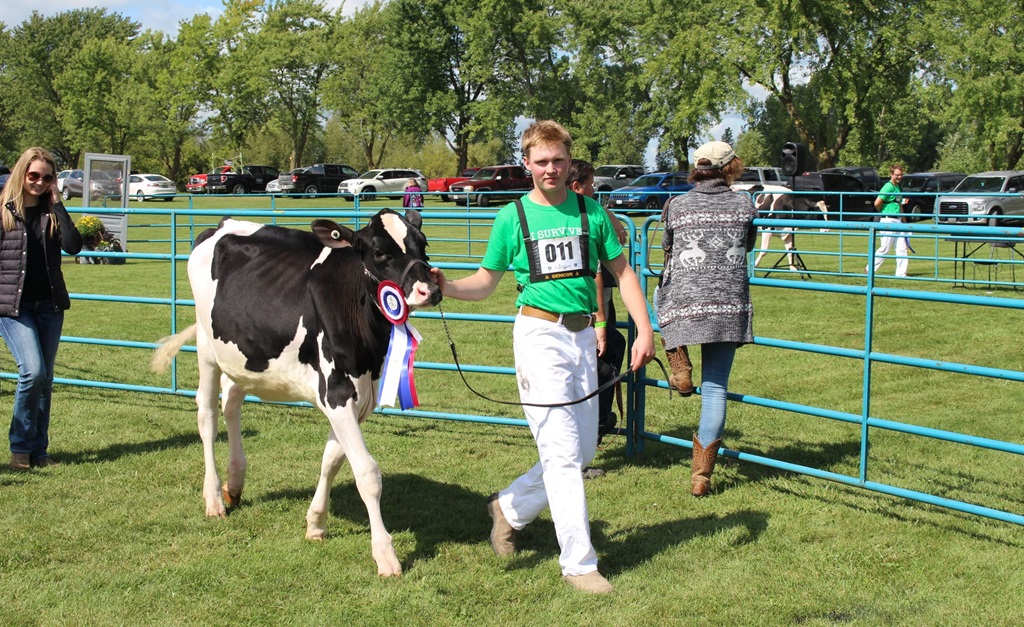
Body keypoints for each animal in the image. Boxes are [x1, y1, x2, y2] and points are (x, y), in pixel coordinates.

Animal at [151, 208, 441, 577]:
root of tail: (224, 222)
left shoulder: (358, 397)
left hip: (245, 352)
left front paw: (315, 523)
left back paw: (235, 483)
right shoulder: (338, 391)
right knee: (207, 415)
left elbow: (331, 460)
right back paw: (214, 498)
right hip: (206, 346)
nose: (431, 288)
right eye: (379, 252)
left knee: (231, 404)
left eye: (423, 243)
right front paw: (385, 555)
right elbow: (366, 473)